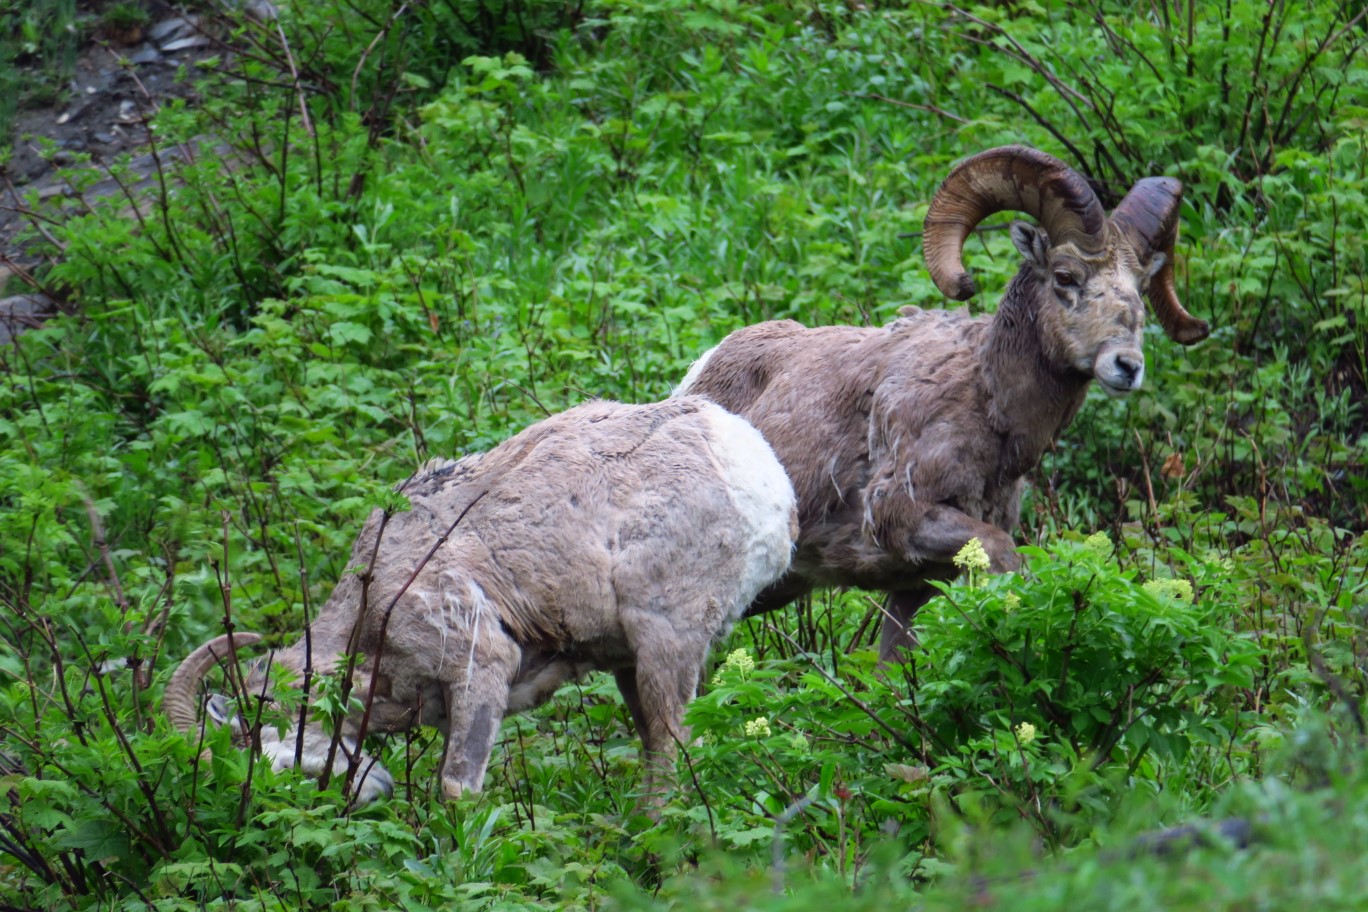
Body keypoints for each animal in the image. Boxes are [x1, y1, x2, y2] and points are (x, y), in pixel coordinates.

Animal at [164, 396, 798, 803]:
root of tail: (757, 470)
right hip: (629, 664)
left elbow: (456, 790)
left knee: (672, 751)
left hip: (668, 645)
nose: (374, 792)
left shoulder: (480, 670)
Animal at [673, 146, 1209, 659]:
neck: (988, 404)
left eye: (1138, 287)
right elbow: (1005, 556)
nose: (1126, 365)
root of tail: (698, 375)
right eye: (1064, 276)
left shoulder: (917, 585)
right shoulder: (907, 517)